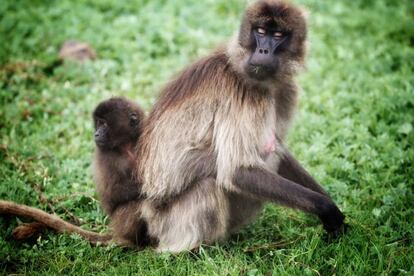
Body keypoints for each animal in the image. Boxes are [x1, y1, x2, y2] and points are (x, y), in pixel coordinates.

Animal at [132, 0, 342, 252]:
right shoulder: (248, 94)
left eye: (278, 35)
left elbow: (279, 148)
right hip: (168, 225)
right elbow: (237, 171)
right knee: (211, 184)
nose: (263, 51)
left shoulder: (285, 90)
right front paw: (326, 207)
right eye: (260, 32)